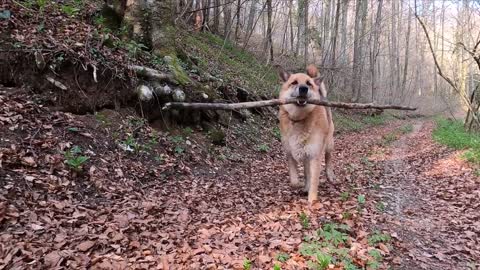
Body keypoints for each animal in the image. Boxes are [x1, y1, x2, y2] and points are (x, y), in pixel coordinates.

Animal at [276, 64, 336, 201]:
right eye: (294, 82)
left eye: (309, 83)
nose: (303, 89)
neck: (299, 118)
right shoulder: (291, 154)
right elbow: (294, 181)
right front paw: (300, 186)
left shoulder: (315, 156)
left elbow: (314, 181)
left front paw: (312, 200)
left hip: (329, 143)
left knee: (328, 158)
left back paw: (330, 175)